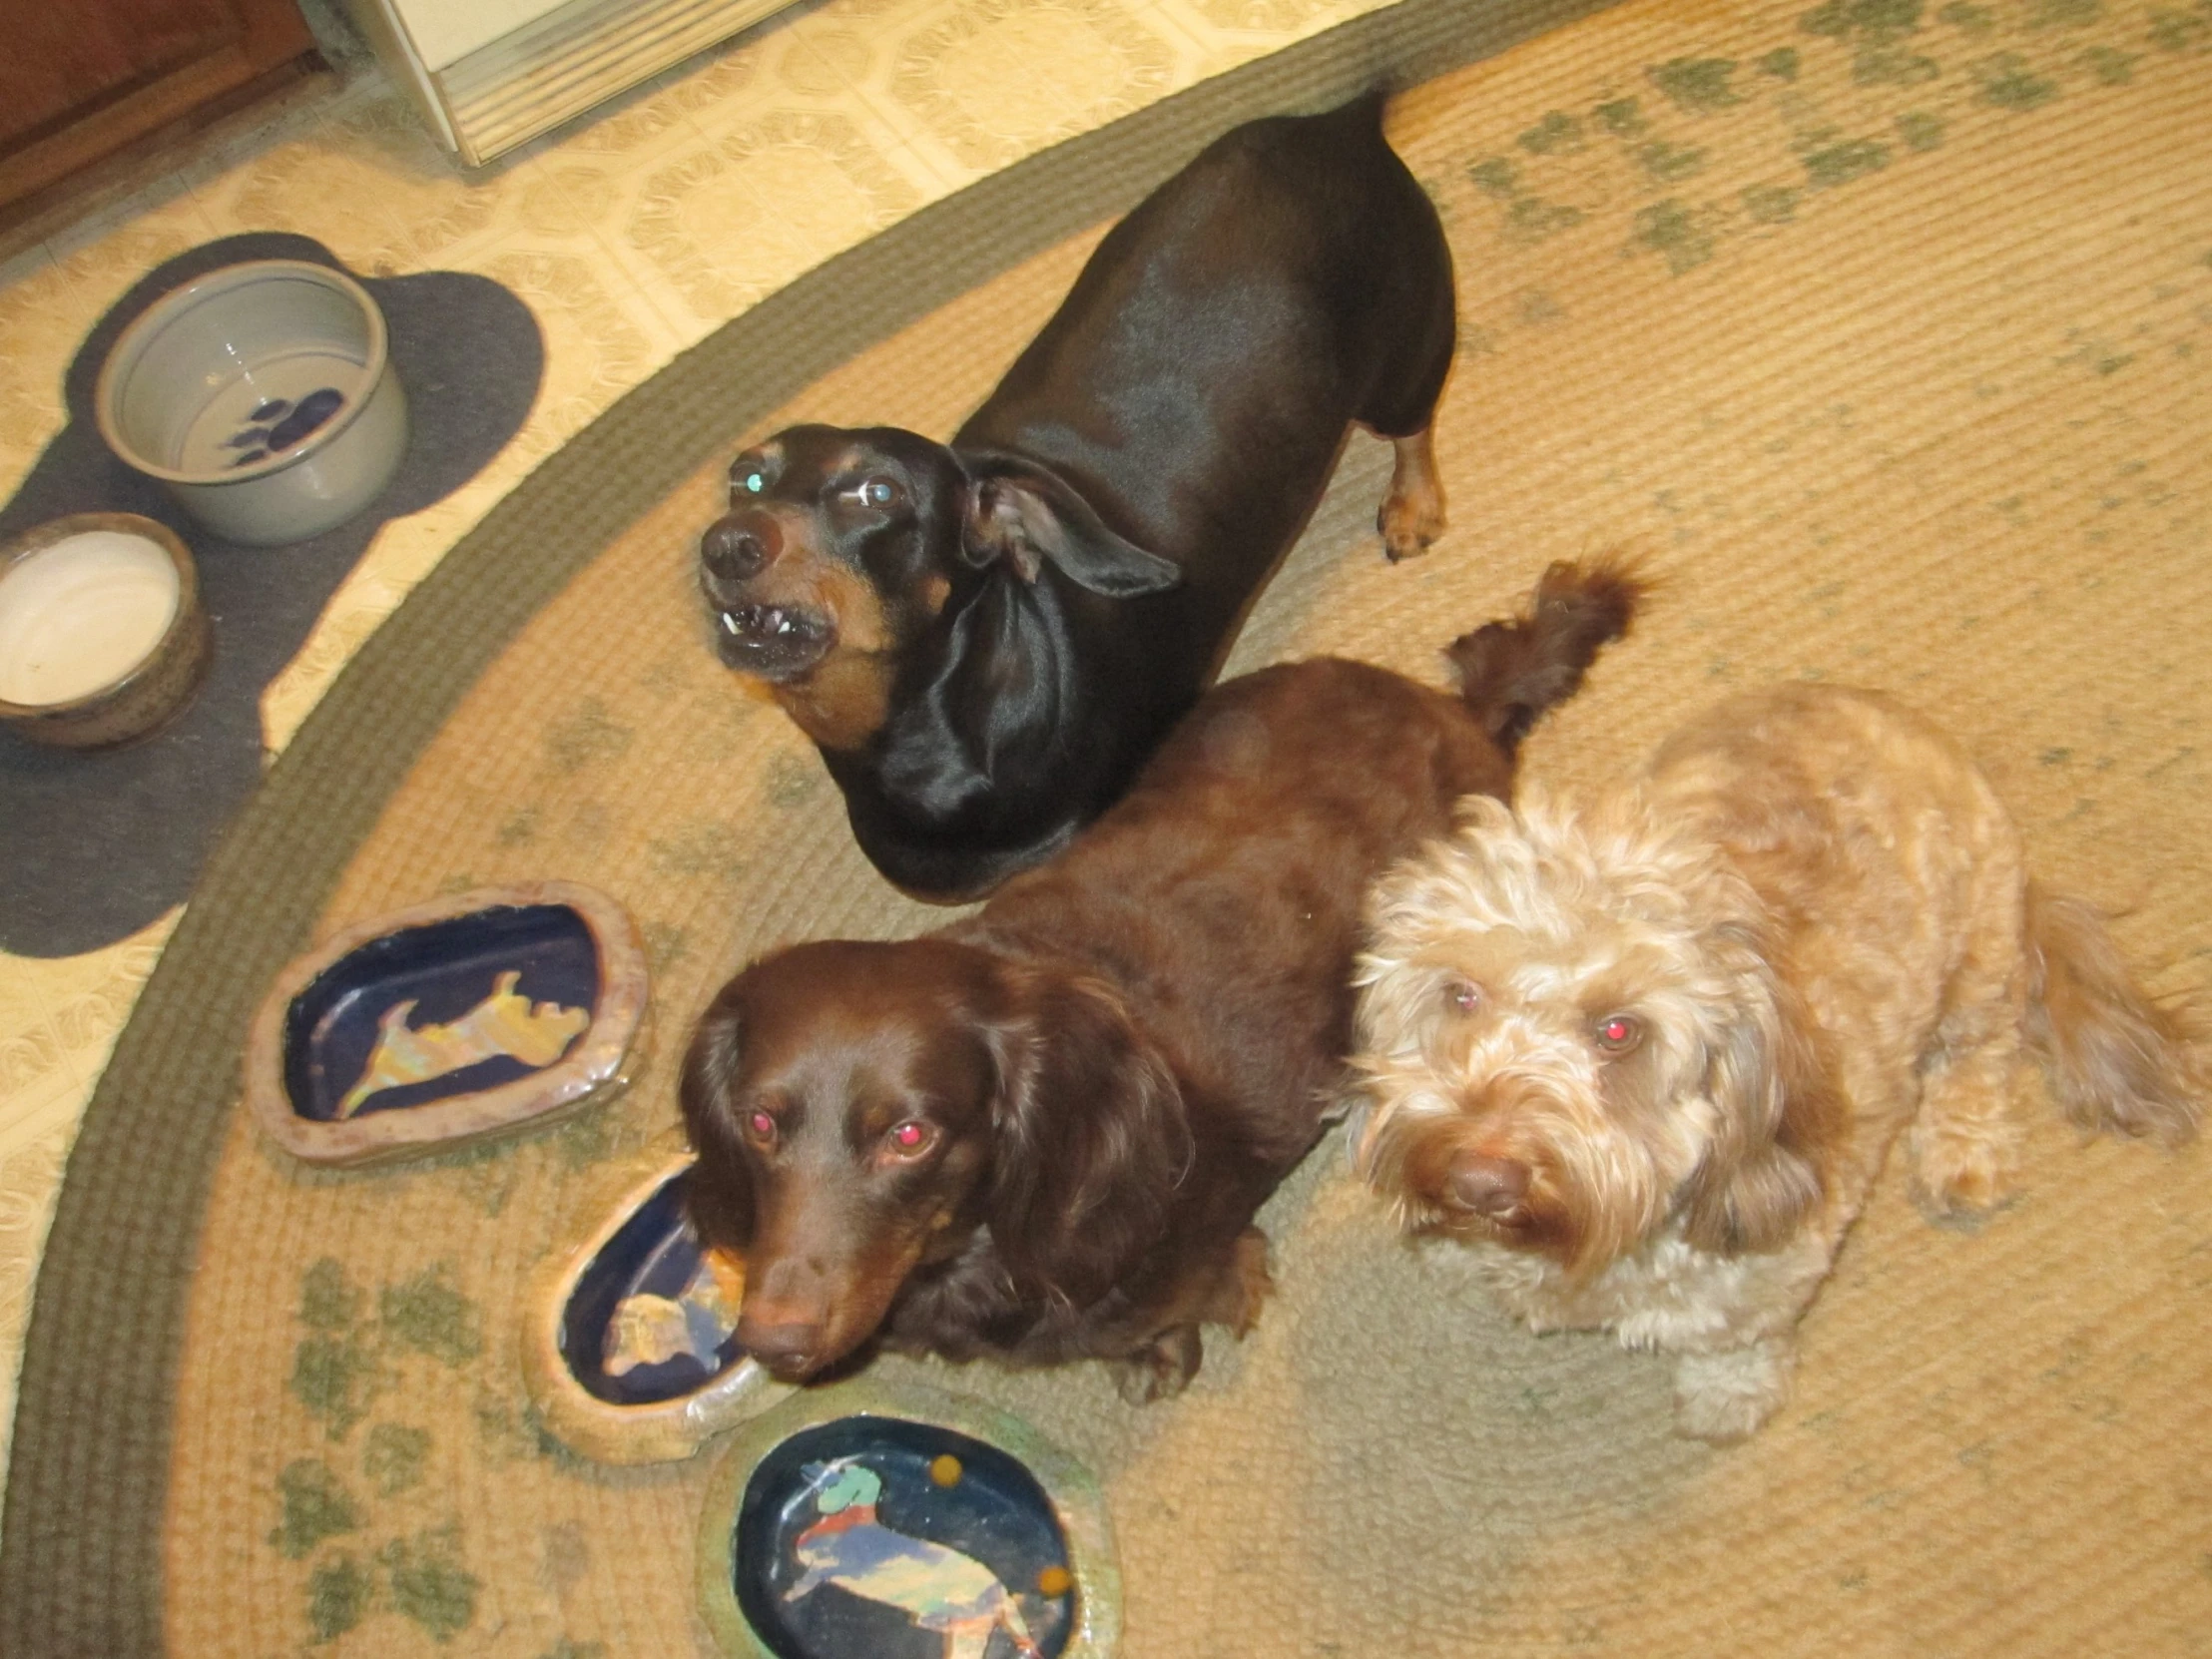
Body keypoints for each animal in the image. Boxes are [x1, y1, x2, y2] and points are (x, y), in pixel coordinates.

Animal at [1345, 685, 2194, 1441]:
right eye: (1460, 995)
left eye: (1618, 1031)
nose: (1481, 1179)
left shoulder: (1769, 1267)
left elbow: (1737, 1341)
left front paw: (1727, 1397)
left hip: (1978, 954)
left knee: (1981, 1050)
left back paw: (1962, 1149)